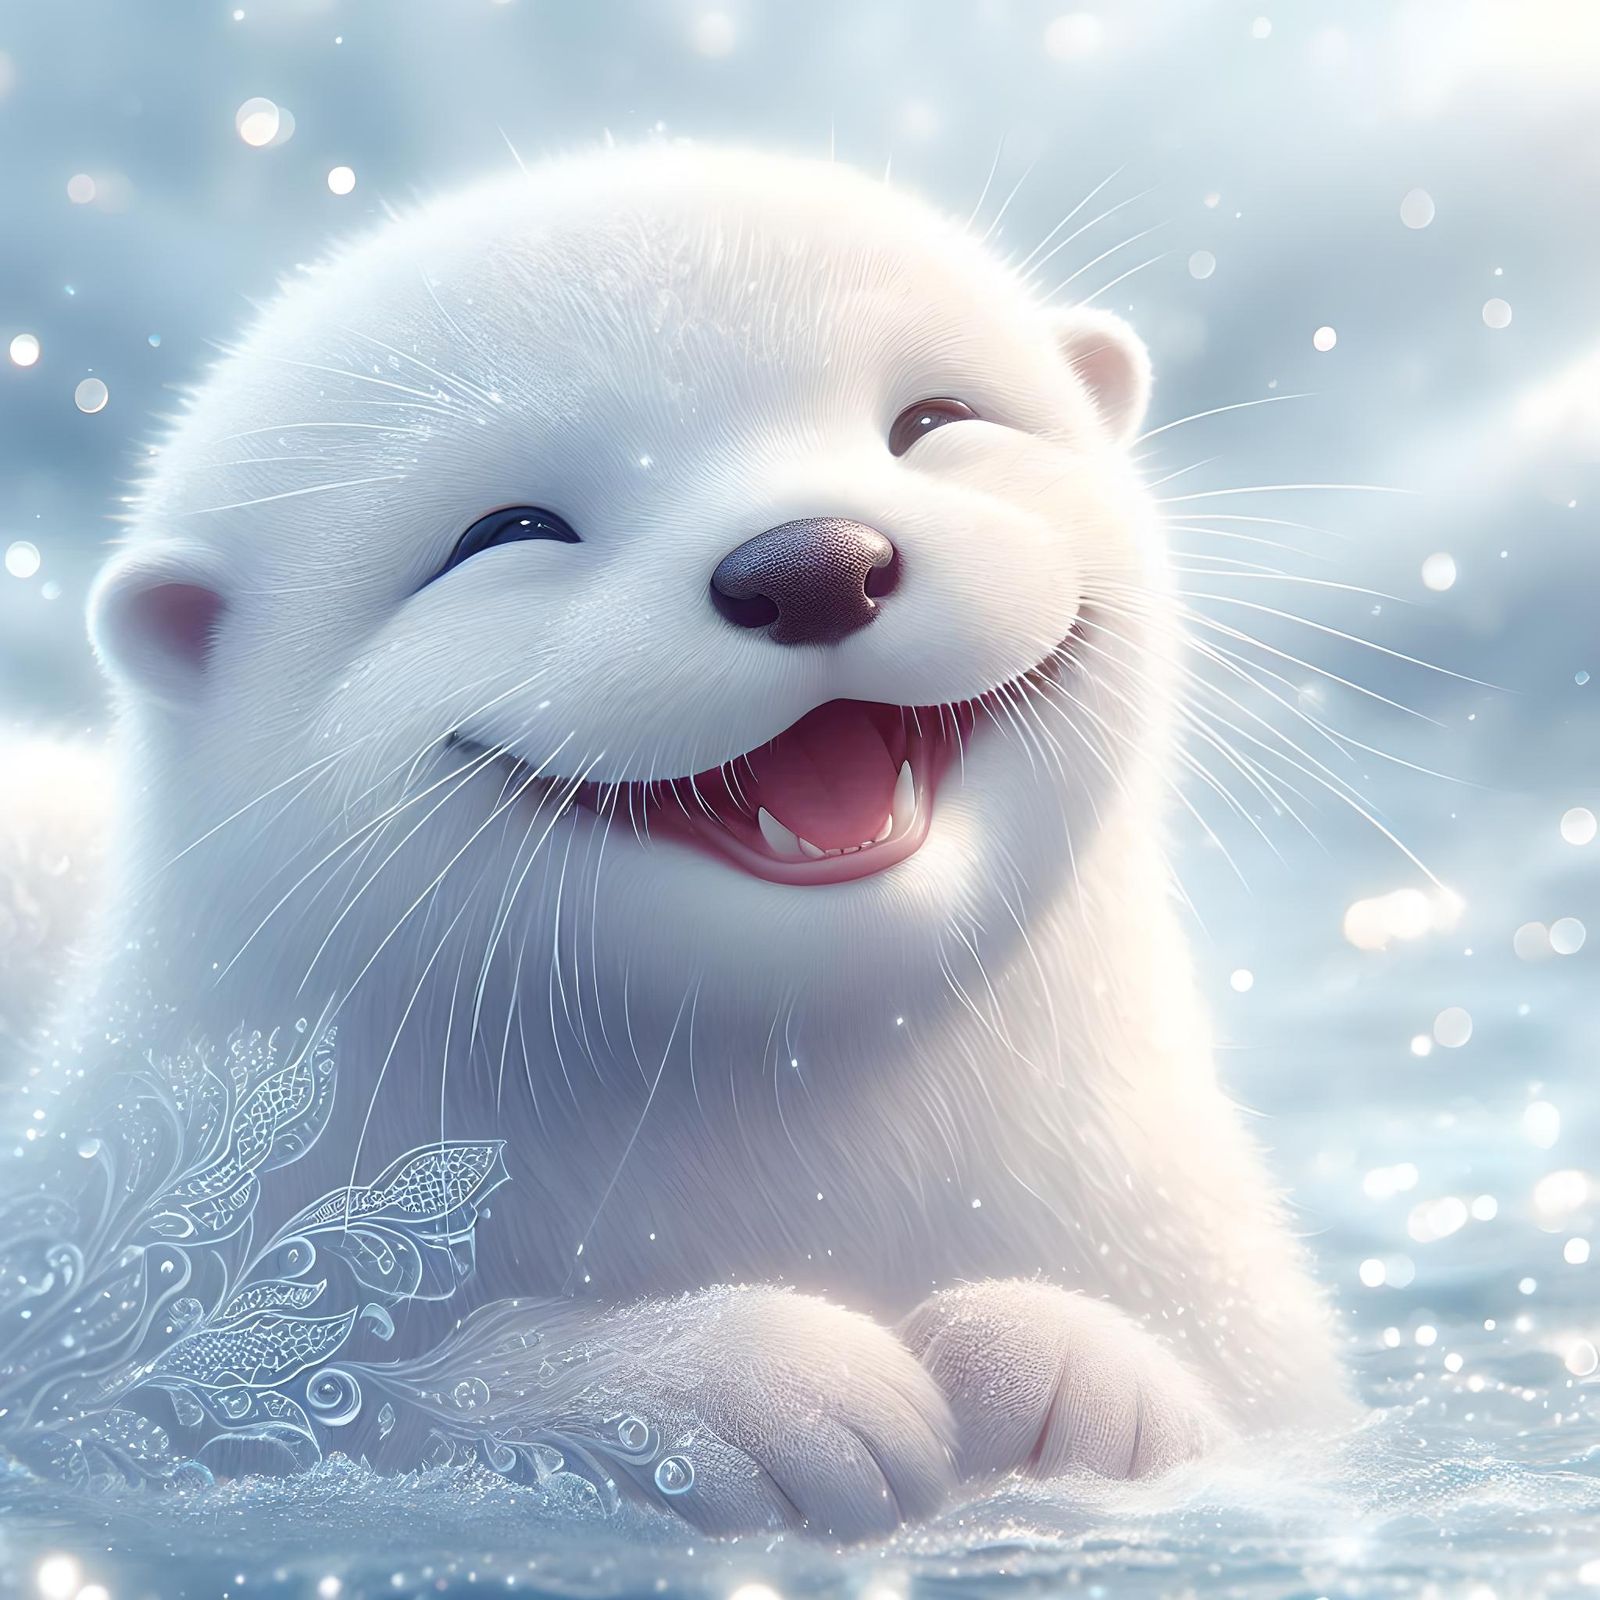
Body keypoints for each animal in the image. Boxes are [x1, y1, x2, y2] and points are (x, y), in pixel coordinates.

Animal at [14, 146, 1349, 1537]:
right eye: (507, 532)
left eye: (931, 420)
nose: (811, 562)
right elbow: (270, 1406)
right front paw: (749, 1389)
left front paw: (1068, 1374)